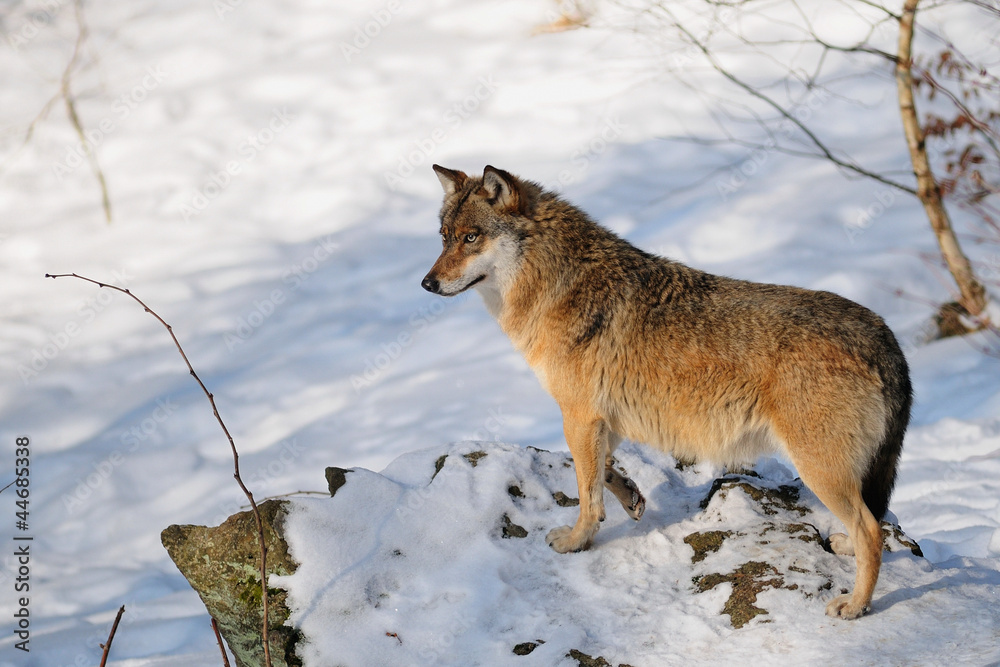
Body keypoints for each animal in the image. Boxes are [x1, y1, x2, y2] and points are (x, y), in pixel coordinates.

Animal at [421, 165, 912, 620]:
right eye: (444, 238)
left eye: (471, 238)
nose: (427, 284)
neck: (557, 284)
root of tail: (886, 337)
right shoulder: (604, 419)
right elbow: (603, 473)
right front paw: (633, 500)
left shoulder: (578, 415)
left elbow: (586, 491)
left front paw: (576, 541)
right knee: (875, 522)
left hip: (818, 468)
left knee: (872, 531)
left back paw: (855, 605)